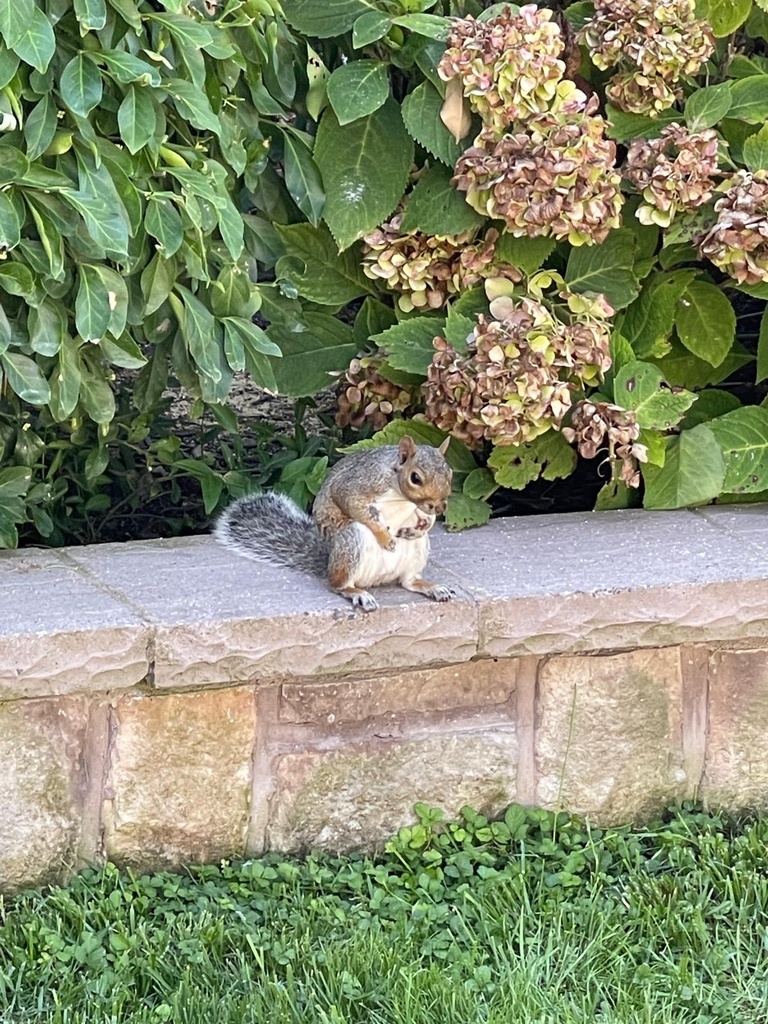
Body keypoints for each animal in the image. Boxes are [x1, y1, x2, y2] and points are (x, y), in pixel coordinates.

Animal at [215, 435, 455, 612]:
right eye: (415, 478)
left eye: (450, 472)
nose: (441, 506)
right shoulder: (360, 483)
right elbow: (352, 504)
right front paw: (385, 537)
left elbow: (424, 519)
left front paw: (423, 525)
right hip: (351, 540)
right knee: (338, 584)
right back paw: (357, 593)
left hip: (417, 551)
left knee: (408, 581)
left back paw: (432, 587)